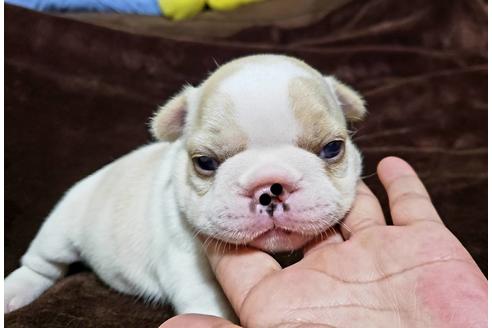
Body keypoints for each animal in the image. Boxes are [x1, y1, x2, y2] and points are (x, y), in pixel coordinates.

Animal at [3, 53, 366, 318]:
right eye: (205, 162)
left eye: (332, 148)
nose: (270, 185)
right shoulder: (190, 264)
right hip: (61, 227)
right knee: (43, 265)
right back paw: (15, 292)